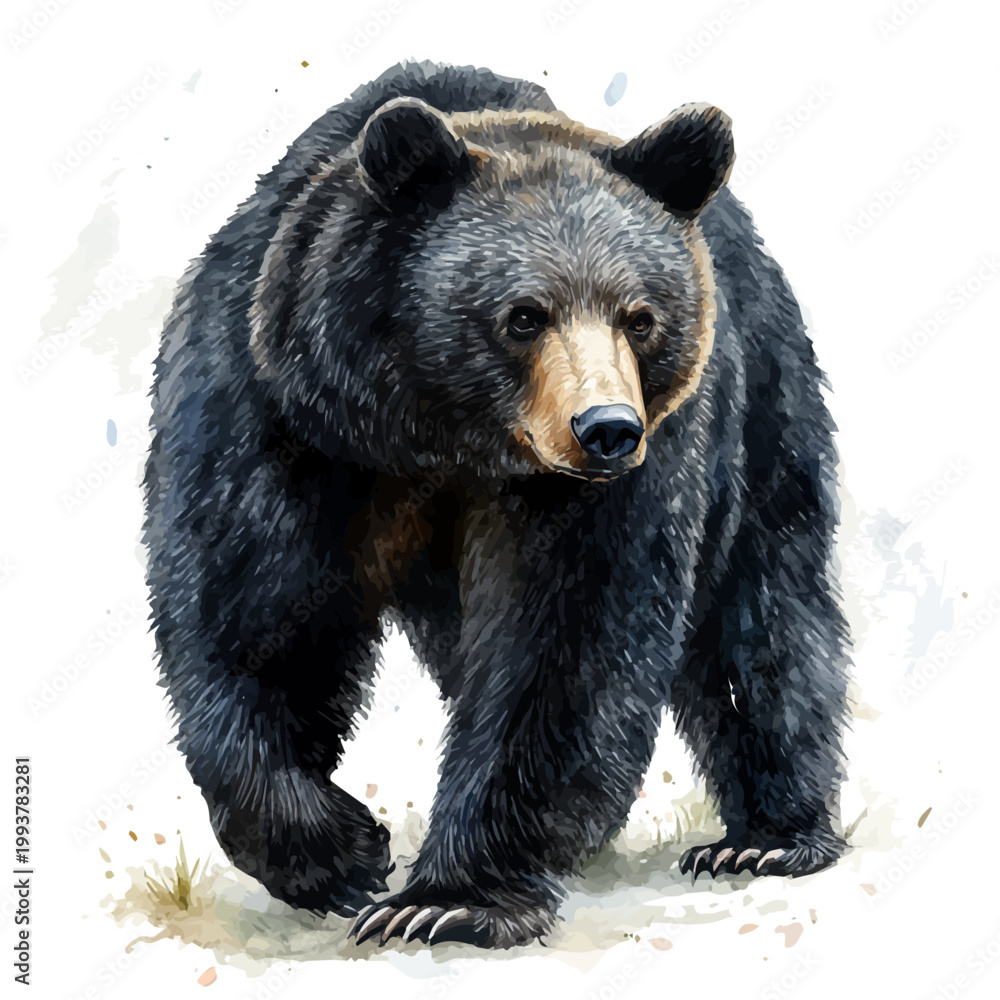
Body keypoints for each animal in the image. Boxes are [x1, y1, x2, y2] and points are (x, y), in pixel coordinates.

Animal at [143, 59, 850, 950]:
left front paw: (447, 897)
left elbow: (565, 646)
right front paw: (342, 853)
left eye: (640, 317)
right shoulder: (282, 418)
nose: (607, 429)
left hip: (762, 397)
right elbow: (257, 619)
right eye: (523, 315)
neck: (444, 437)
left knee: (763, 605)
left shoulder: (615, 480)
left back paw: (769, 838)